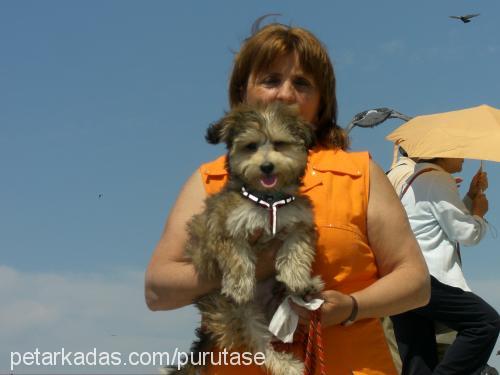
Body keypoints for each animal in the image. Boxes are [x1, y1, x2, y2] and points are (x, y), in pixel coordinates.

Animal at [176, 103, 320, 375]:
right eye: (251, 146)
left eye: (279, 144)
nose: (267, 167)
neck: (268, 199)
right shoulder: (225, 225)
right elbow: (237, 257)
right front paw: (240, 286)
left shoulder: (298, 219)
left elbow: (296, 248)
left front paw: (297, 277)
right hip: (239, 314)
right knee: (260, 343)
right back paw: (284, 364)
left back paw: (309, 288)